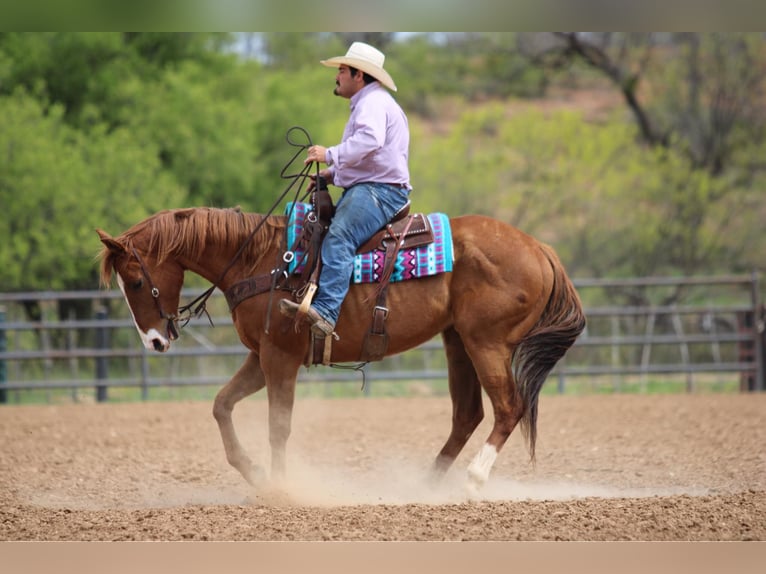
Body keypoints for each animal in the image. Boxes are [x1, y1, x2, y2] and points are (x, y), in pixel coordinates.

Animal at [97, 207, 588, 496]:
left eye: (136, 282)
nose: (155, 341)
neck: (262, 261)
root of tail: (540, 248)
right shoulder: (261, 356)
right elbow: (221, 405)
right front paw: (255, 474)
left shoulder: (280, 357)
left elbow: (278, 426)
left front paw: (281, 488)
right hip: (457, 342)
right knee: (468, 415)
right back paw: (424, 487)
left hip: (486, 342)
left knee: (508, 407)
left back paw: (473, 479)